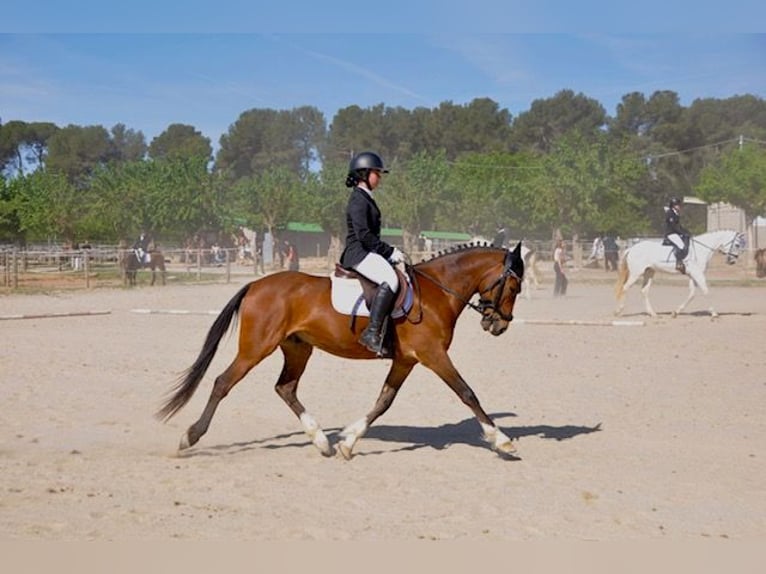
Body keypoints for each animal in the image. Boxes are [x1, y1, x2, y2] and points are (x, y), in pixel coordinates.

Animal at [156, 242, 525, 460]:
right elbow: (467, 393)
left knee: (285, 388)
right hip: (256, 348)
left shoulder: (406, 360)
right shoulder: (433, 355)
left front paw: (349, 441)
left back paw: (322, 441)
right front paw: (502, 441)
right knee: (223, 382)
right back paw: (190, 438)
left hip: (297, 349)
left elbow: (383, 402)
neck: (437, 292)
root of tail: (256, 284)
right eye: (514, 286)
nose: (498, 325)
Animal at [614, 229, 745, 318]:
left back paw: (653, 314)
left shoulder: (693, 275)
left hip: (649, 272)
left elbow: (692, 294)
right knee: (625, 288)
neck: (701, 249)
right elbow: (706, 291)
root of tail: (632, 248)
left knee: (644, 291)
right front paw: (714, 313)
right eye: (737, 244)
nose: (732, 261)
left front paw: (675, 312)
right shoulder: (698, 274)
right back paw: (619, 311)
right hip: (636, 273)